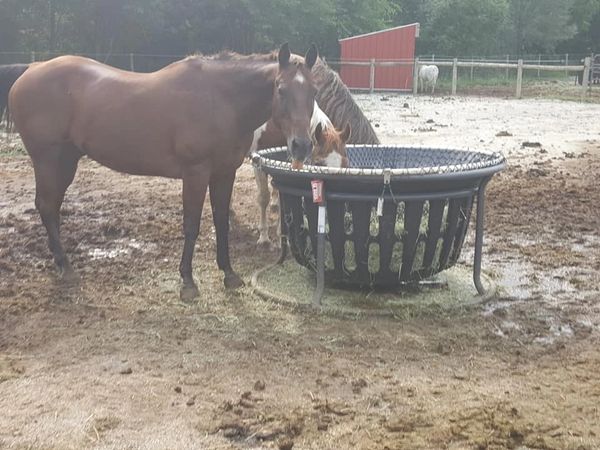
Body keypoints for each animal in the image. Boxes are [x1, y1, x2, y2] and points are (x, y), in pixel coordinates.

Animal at [9, 43, 318, 302]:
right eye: (280, 89)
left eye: (313, 92)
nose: (301, 145)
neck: (220, 99)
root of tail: (32, 69)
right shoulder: (195, 173)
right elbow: (192, 225)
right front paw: (188, 282)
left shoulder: (224, 173)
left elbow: (221, 222)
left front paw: (229, 274)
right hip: (48, 160)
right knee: (47, 206)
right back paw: (66, 266)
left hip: (66, 160)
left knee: (51, 207)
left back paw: (60, 262)